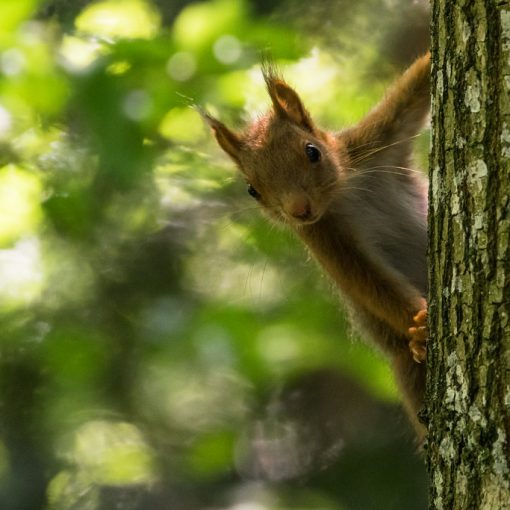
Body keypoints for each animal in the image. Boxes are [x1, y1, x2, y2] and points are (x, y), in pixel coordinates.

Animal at [203, 54, 430, 438]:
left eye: (313, 152)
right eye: (252, 189)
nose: (299, 210)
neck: (343, 194)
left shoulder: (377, 139)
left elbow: (415, 89)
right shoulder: (325, 237)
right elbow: (368, 281)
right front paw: (421, 321)